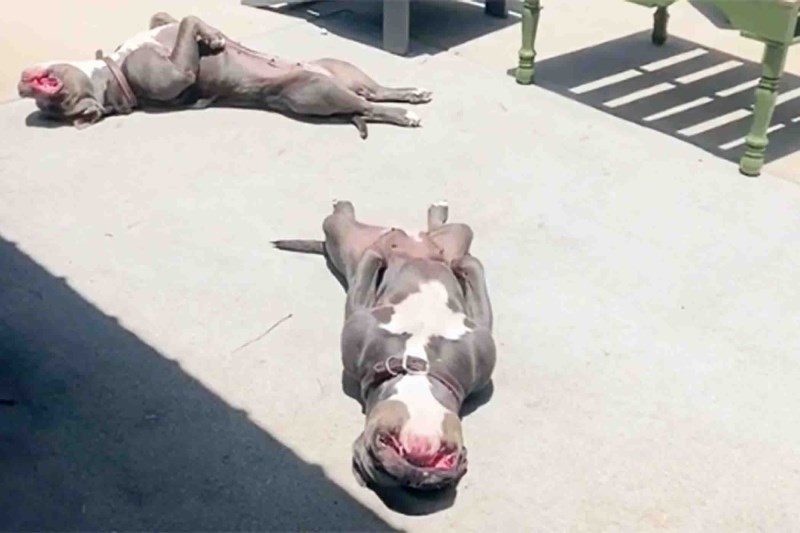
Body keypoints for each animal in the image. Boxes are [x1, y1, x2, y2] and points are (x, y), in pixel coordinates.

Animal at [18, 11, 432, 137]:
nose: (22, 86)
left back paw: (413, 93)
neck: (115, 72)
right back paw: (406, 115)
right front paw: (212, 36)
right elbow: (188, 20)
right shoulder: (176, 73)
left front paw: (211, 34)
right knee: (368, 107)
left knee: (375, 93)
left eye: (49, 90)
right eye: (55, 102)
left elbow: (168, 17)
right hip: (316, 92)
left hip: (342, 69)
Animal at [274, 201, 494, 490]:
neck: (417, 366)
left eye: (447, 462)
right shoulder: (358, 316)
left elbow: (474, 272)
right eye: (382, 449)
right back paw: (351, 212)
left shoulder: (480, 343)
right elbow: (367, 270)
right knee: (339, 221)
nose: (418, 466)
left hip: (457, 234)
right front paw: (383, 251)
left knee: (444, 231)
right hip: (341, 236)